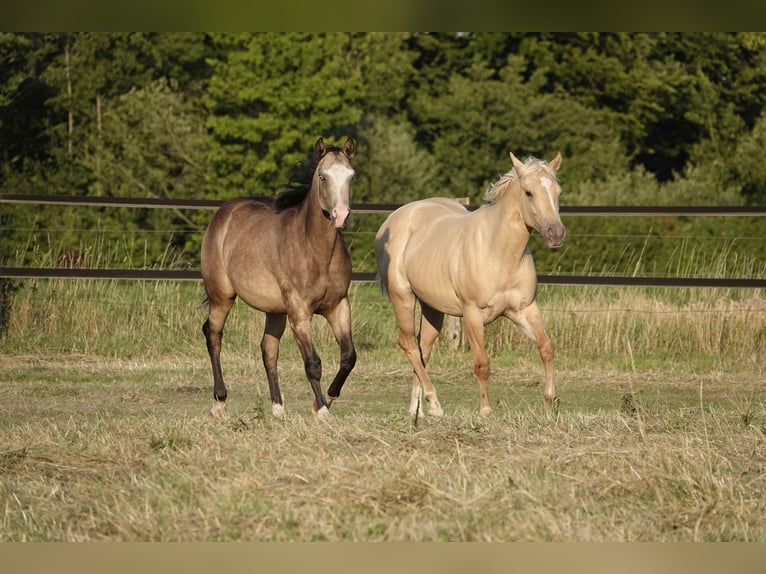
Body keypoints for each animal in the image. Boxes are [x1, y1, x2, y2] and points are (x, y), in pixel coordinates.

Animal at [201, 137, 357, 420]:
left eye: (352, 176)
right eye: (322, 176)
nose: (341, 215)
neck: (315, 250)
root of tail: (224, 212)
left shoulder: (338, 306)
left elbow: (349, 357)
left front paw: (325, 400)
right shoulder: (300, 312)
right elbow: (313, 363)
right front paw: (322, 410)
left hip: (274, 311)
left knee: (268, 350)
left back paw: (277, 408)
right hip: (222, 297)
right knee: (213, 335)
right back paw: (219, 402)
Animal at [374, 151, 565, 419]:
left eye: (558, 192)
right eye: (528, 192)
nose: (555, 234)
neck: (499, 252)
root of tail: (394, 218)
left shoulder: (525, 310)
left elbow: (546, 347)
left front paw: (550, 400)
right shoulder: (473, 315)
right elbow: (482, 363)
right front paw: (485, 411)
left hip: (432, 308)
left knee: (423, 349)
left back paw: (418, 410)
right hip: (402, 297)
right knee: (409, 345)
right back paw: (435, 404)